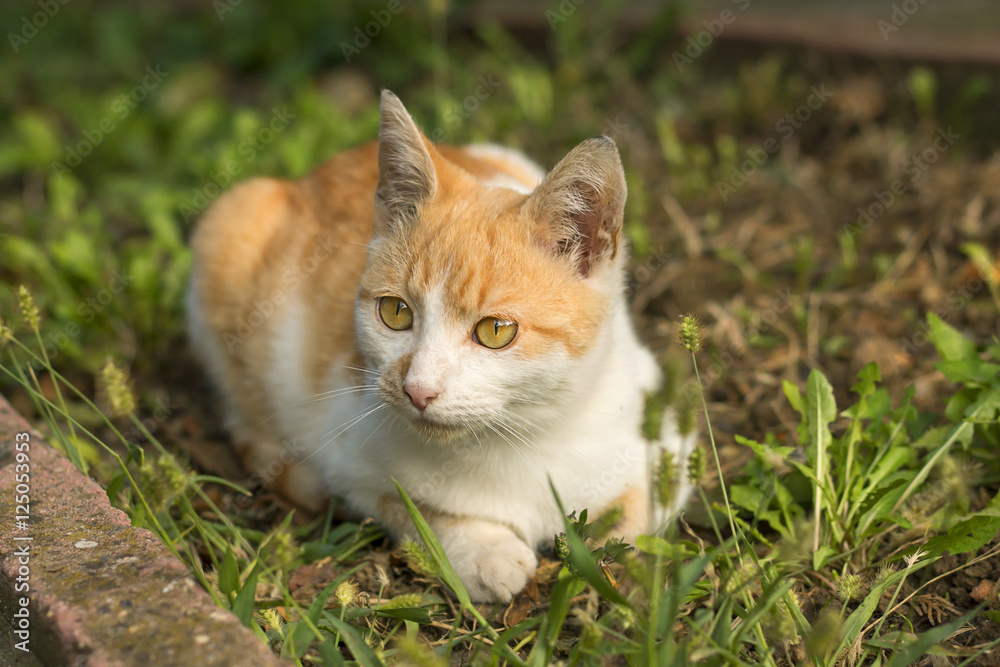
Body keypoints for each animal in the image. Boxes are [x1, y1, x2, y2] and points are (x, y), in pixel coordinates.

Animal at [186, 88, 696, 600]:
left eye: (495, 331)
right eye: (395, 313)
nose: (418, 390)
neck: (524, 438)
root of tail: (314, 173)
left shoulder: (661, 428)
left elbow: (645, 505)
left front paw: (622, 556)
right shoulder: (349, 459)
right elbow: (416, 510)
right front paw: (483, 551)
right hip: (226, 233)